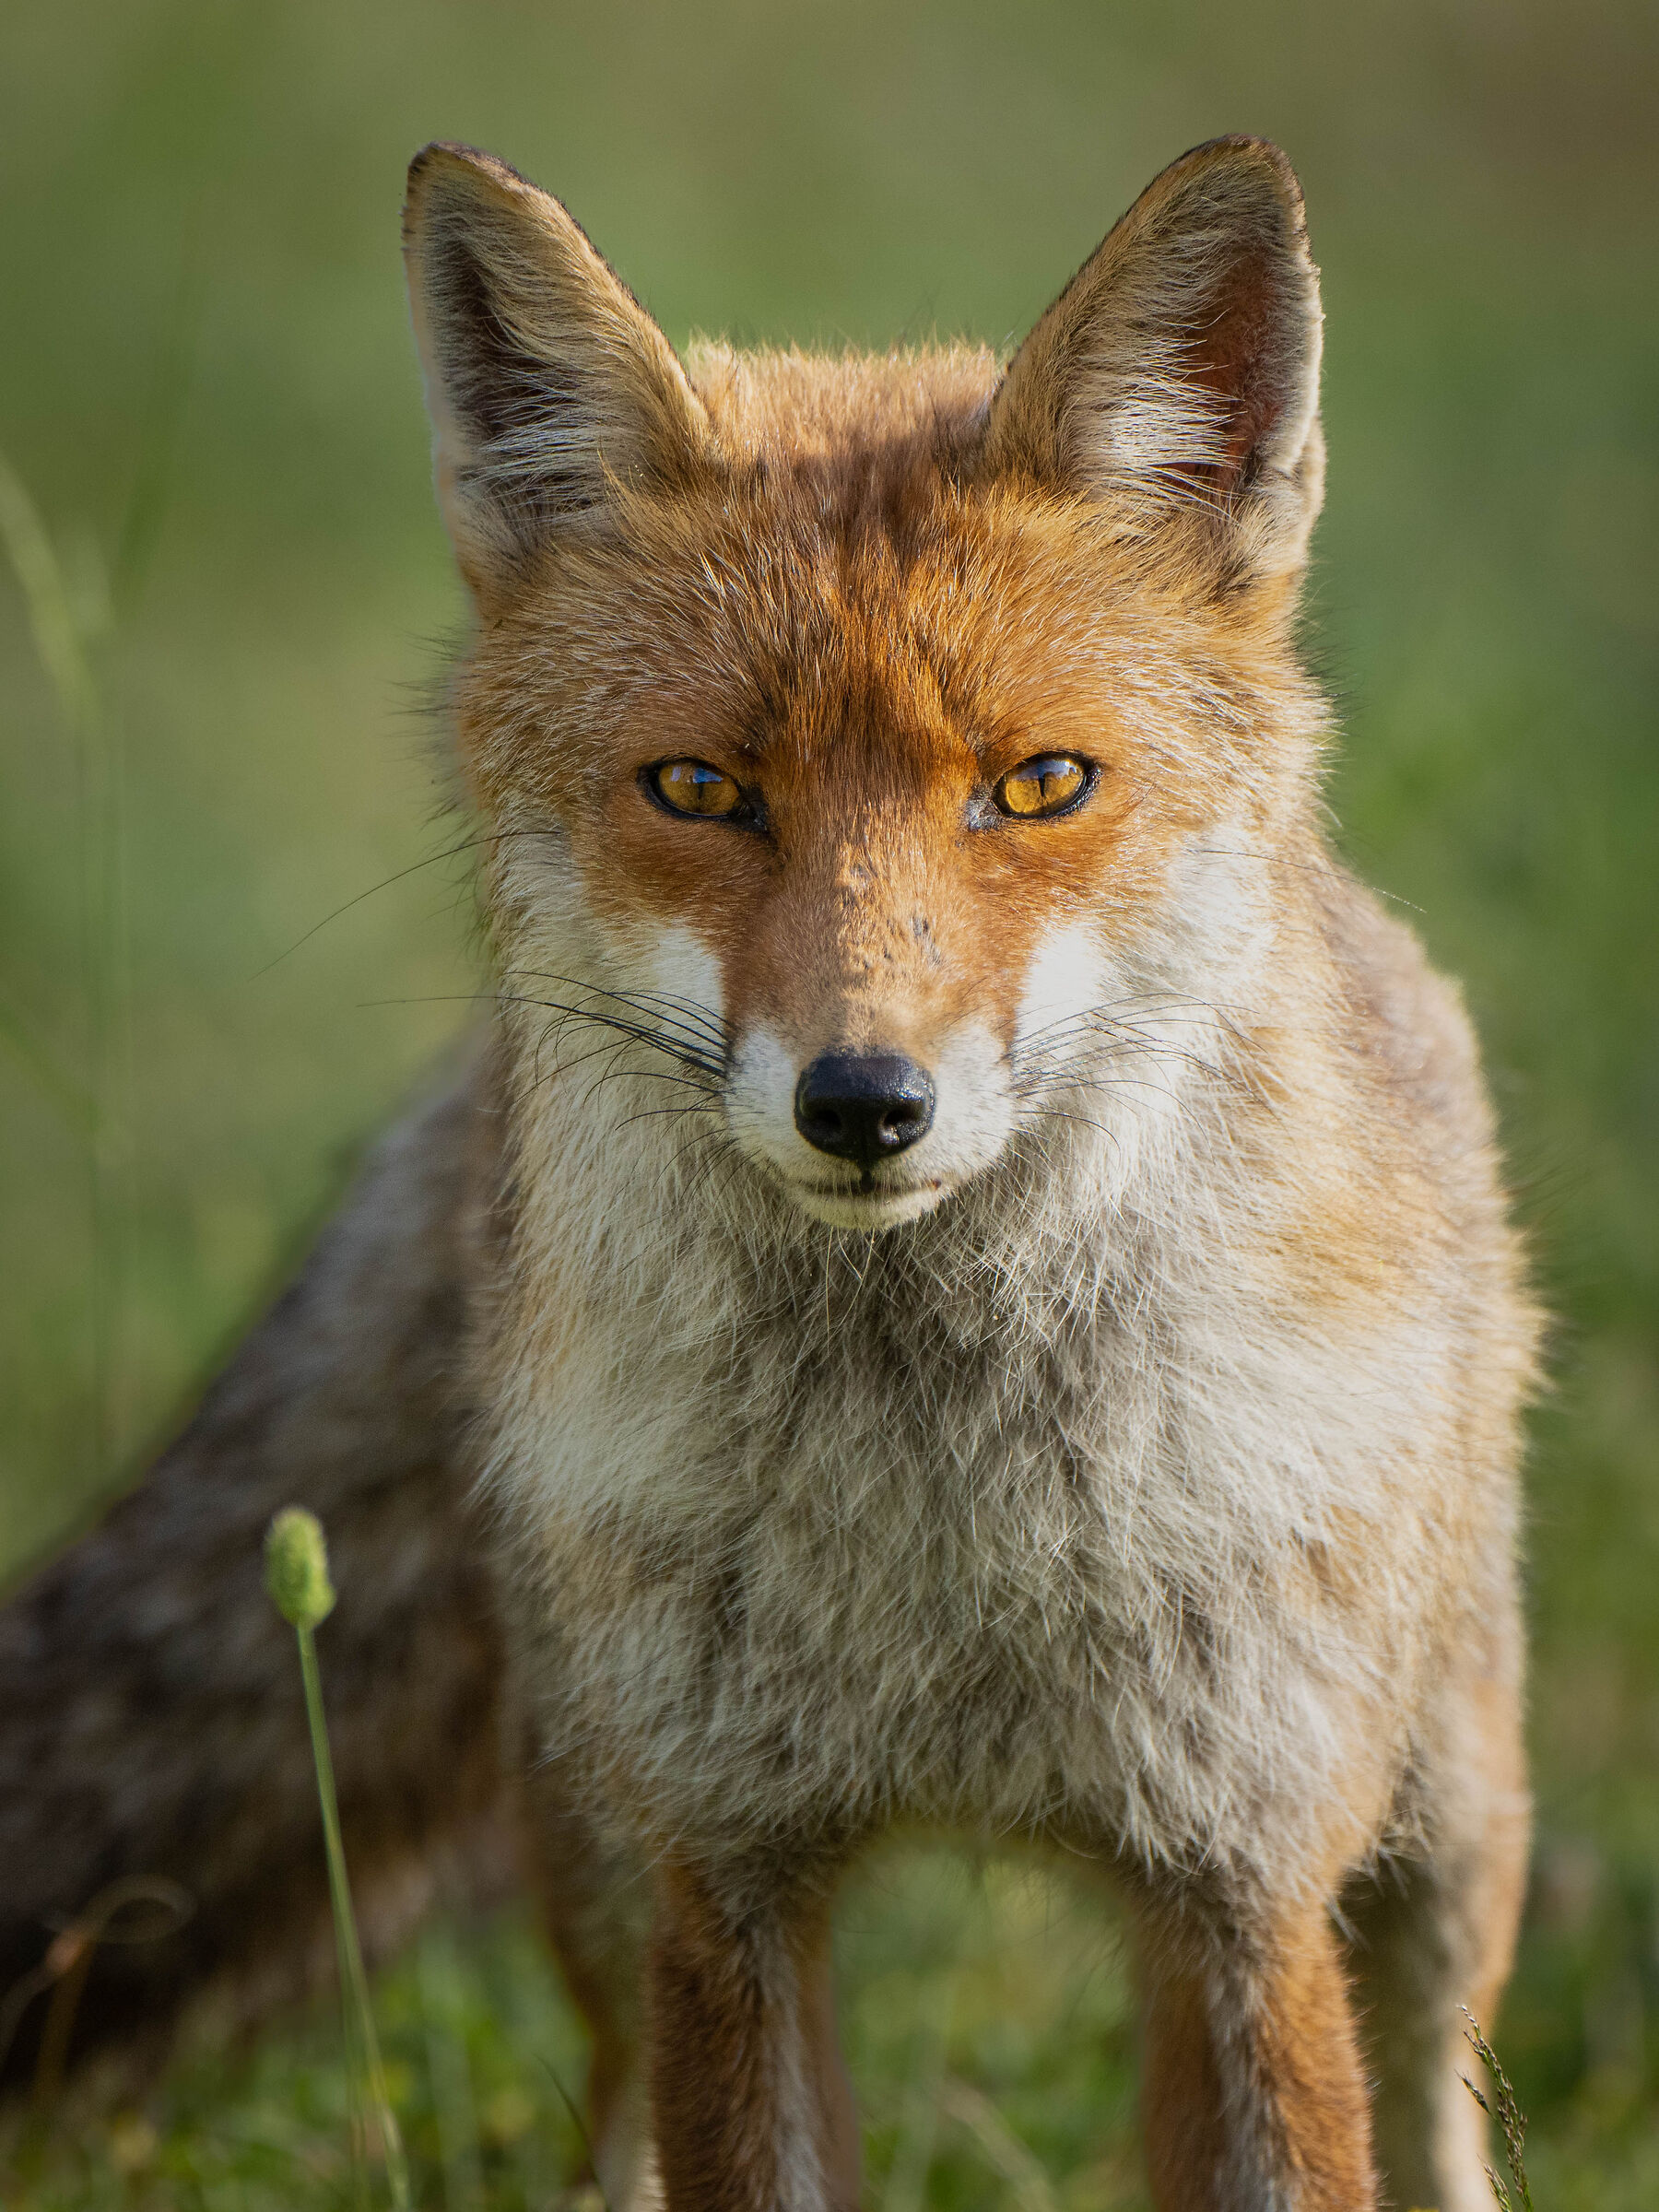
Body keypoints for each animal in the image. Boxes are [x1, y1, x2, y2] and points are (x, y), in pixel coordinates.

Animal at [0, 136, 1539, 2212]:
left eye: (1039, 787)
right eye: (701, 792)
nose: (864, 1103)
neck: (940, 1533)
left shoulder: (1243, 1882)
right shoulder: (721, 1877)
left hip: (1441, 1833)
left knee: (1443, 2090)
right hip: (591, 1850)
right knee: (608, 2132)